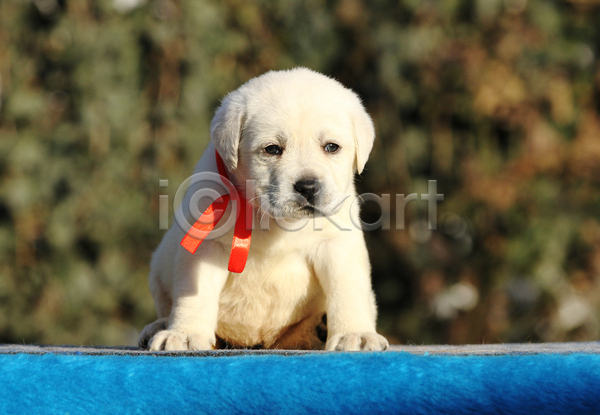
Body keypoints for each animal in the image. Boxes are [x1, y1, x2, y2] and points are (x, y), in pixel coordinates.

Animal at [142, 67, 390, 352]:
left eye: (331, 147)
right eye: (272, 149)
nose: (307, 186)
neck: (274, 221)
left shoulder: (337, 245)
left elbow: (348, 291)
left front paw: (355, 333)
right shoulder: (206, 244)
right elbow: (195, 294)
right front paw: (183, 334)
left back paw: (318, 328)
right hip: (159, 268)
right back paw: (157, 327)